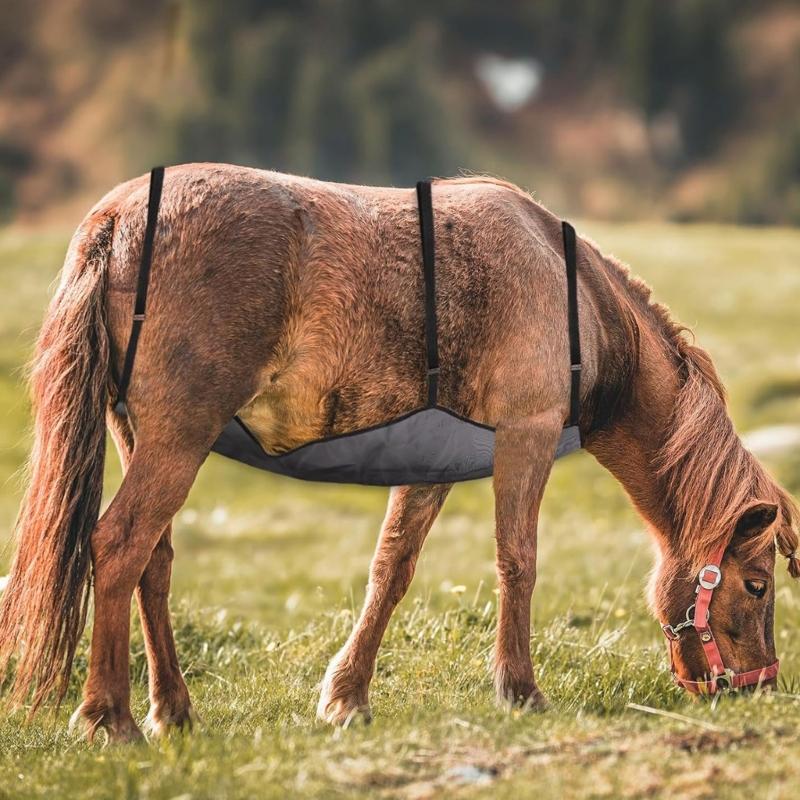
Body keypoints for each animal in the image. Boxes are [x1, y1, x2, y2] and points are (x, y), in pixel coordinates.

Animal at [0, 163, 797, 743]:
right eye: (757, 586)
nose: (758, 688)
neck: (573, 295)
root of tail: (117, 219)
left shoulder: (430, 467)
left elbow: (391, 572)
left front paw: (347, 696)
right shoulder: (529, 435)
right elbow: (518, 561)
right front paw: (520, 689)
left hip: (141, 434)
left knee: (153, 563)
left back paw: (173, 710)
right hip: (177, 438)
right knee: (119, 545)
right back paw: (110, 717)